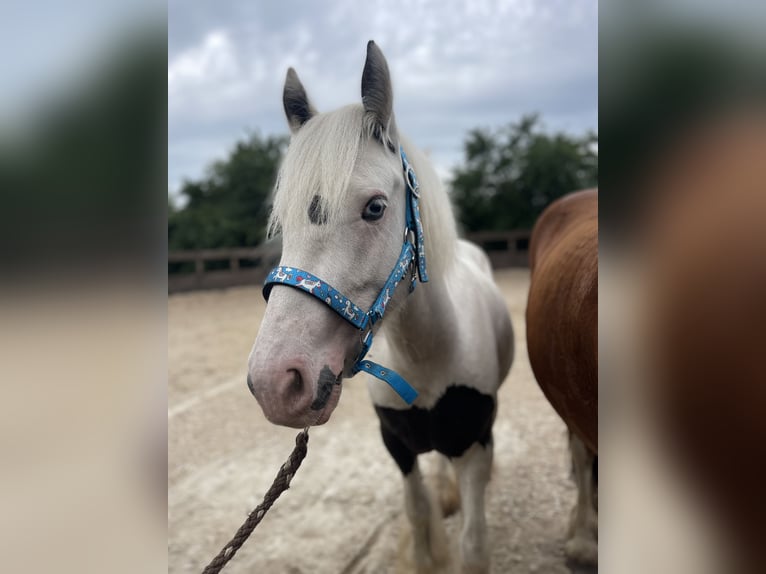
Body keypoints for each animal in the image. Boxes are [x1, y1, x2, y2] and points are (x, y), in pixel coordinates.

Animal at [246, 41, 514, 572]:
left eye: (374, 208)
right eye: (282, 220)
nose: (274, 383)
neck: (427, 356)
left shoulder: (478, 446)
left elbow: (474, 542)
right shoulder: (397, 447)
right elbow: (417, 513)